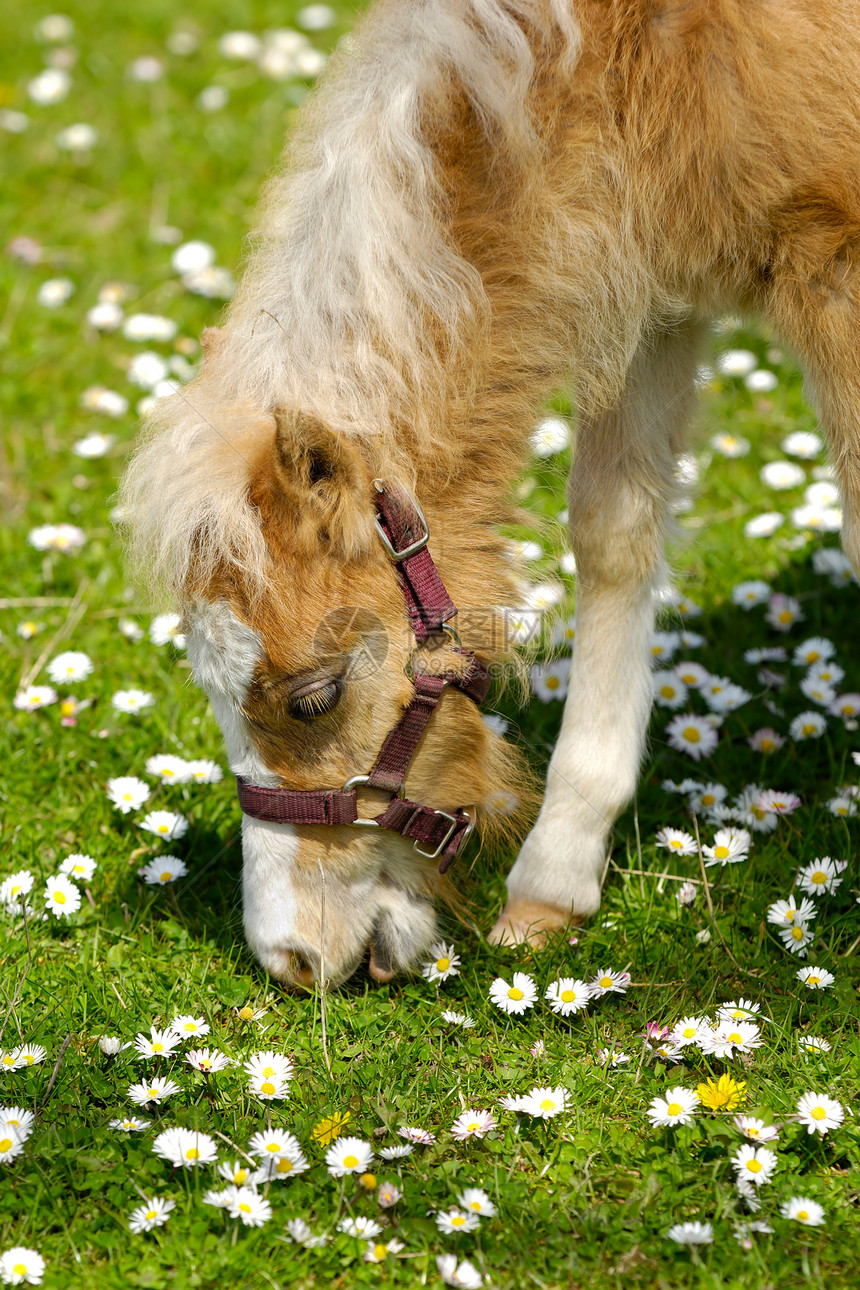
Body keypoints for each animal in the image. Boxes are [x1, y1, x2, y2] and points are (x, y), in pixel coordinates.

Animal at [119, 0, 860, 985]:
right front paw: (554, 883)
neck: (639, 54)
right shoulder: (642, 280)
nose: (291, 959)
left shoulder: (834, 268)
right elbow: (614, 531)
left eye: (314, 698)